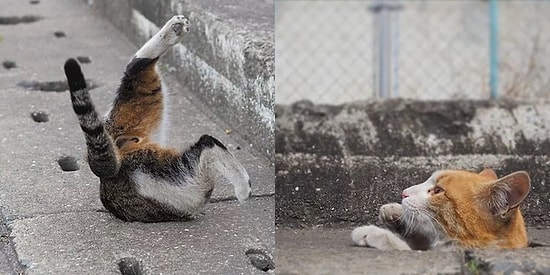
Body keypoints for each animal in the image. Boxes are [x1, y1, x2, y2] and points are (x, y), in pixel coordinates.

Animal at [64, 15, 252, 223]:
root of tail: (109, 175)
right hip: (183, 179)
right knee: (207, 144)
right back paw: (243, 187)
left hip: (130, 111)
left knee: (136, 67)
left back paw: (175, 28)